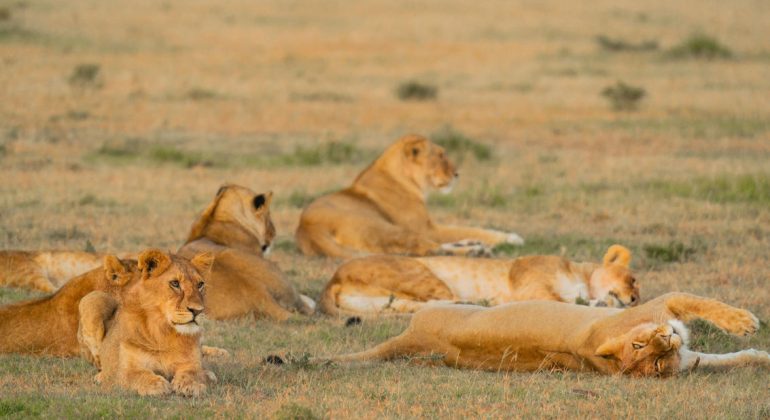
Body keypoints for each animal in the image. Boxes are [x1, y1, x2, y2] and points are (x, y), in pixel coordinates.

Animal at [88, 249, 217, 396]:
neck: (164, 331)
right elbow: (138, 375)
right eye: (175, 283)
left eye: (200, 285)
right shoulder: (124, 370)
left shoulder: (191, 362)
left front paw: (191, 384)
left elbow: (193, 372)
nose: (197, 311)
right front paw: (157, 384)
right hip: (94, 298)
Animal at [295, 134, 524, 258]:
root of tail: (307, 228)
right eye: (441, 155)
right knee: (427, 249)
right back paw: (476, 251)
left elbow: (464, 229)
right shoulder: (427, 228)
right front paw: (512, 238)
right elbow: (469, 228)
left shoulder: (429, 228)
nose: (457, 173)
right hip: (388, 229)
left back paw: (473, 245)